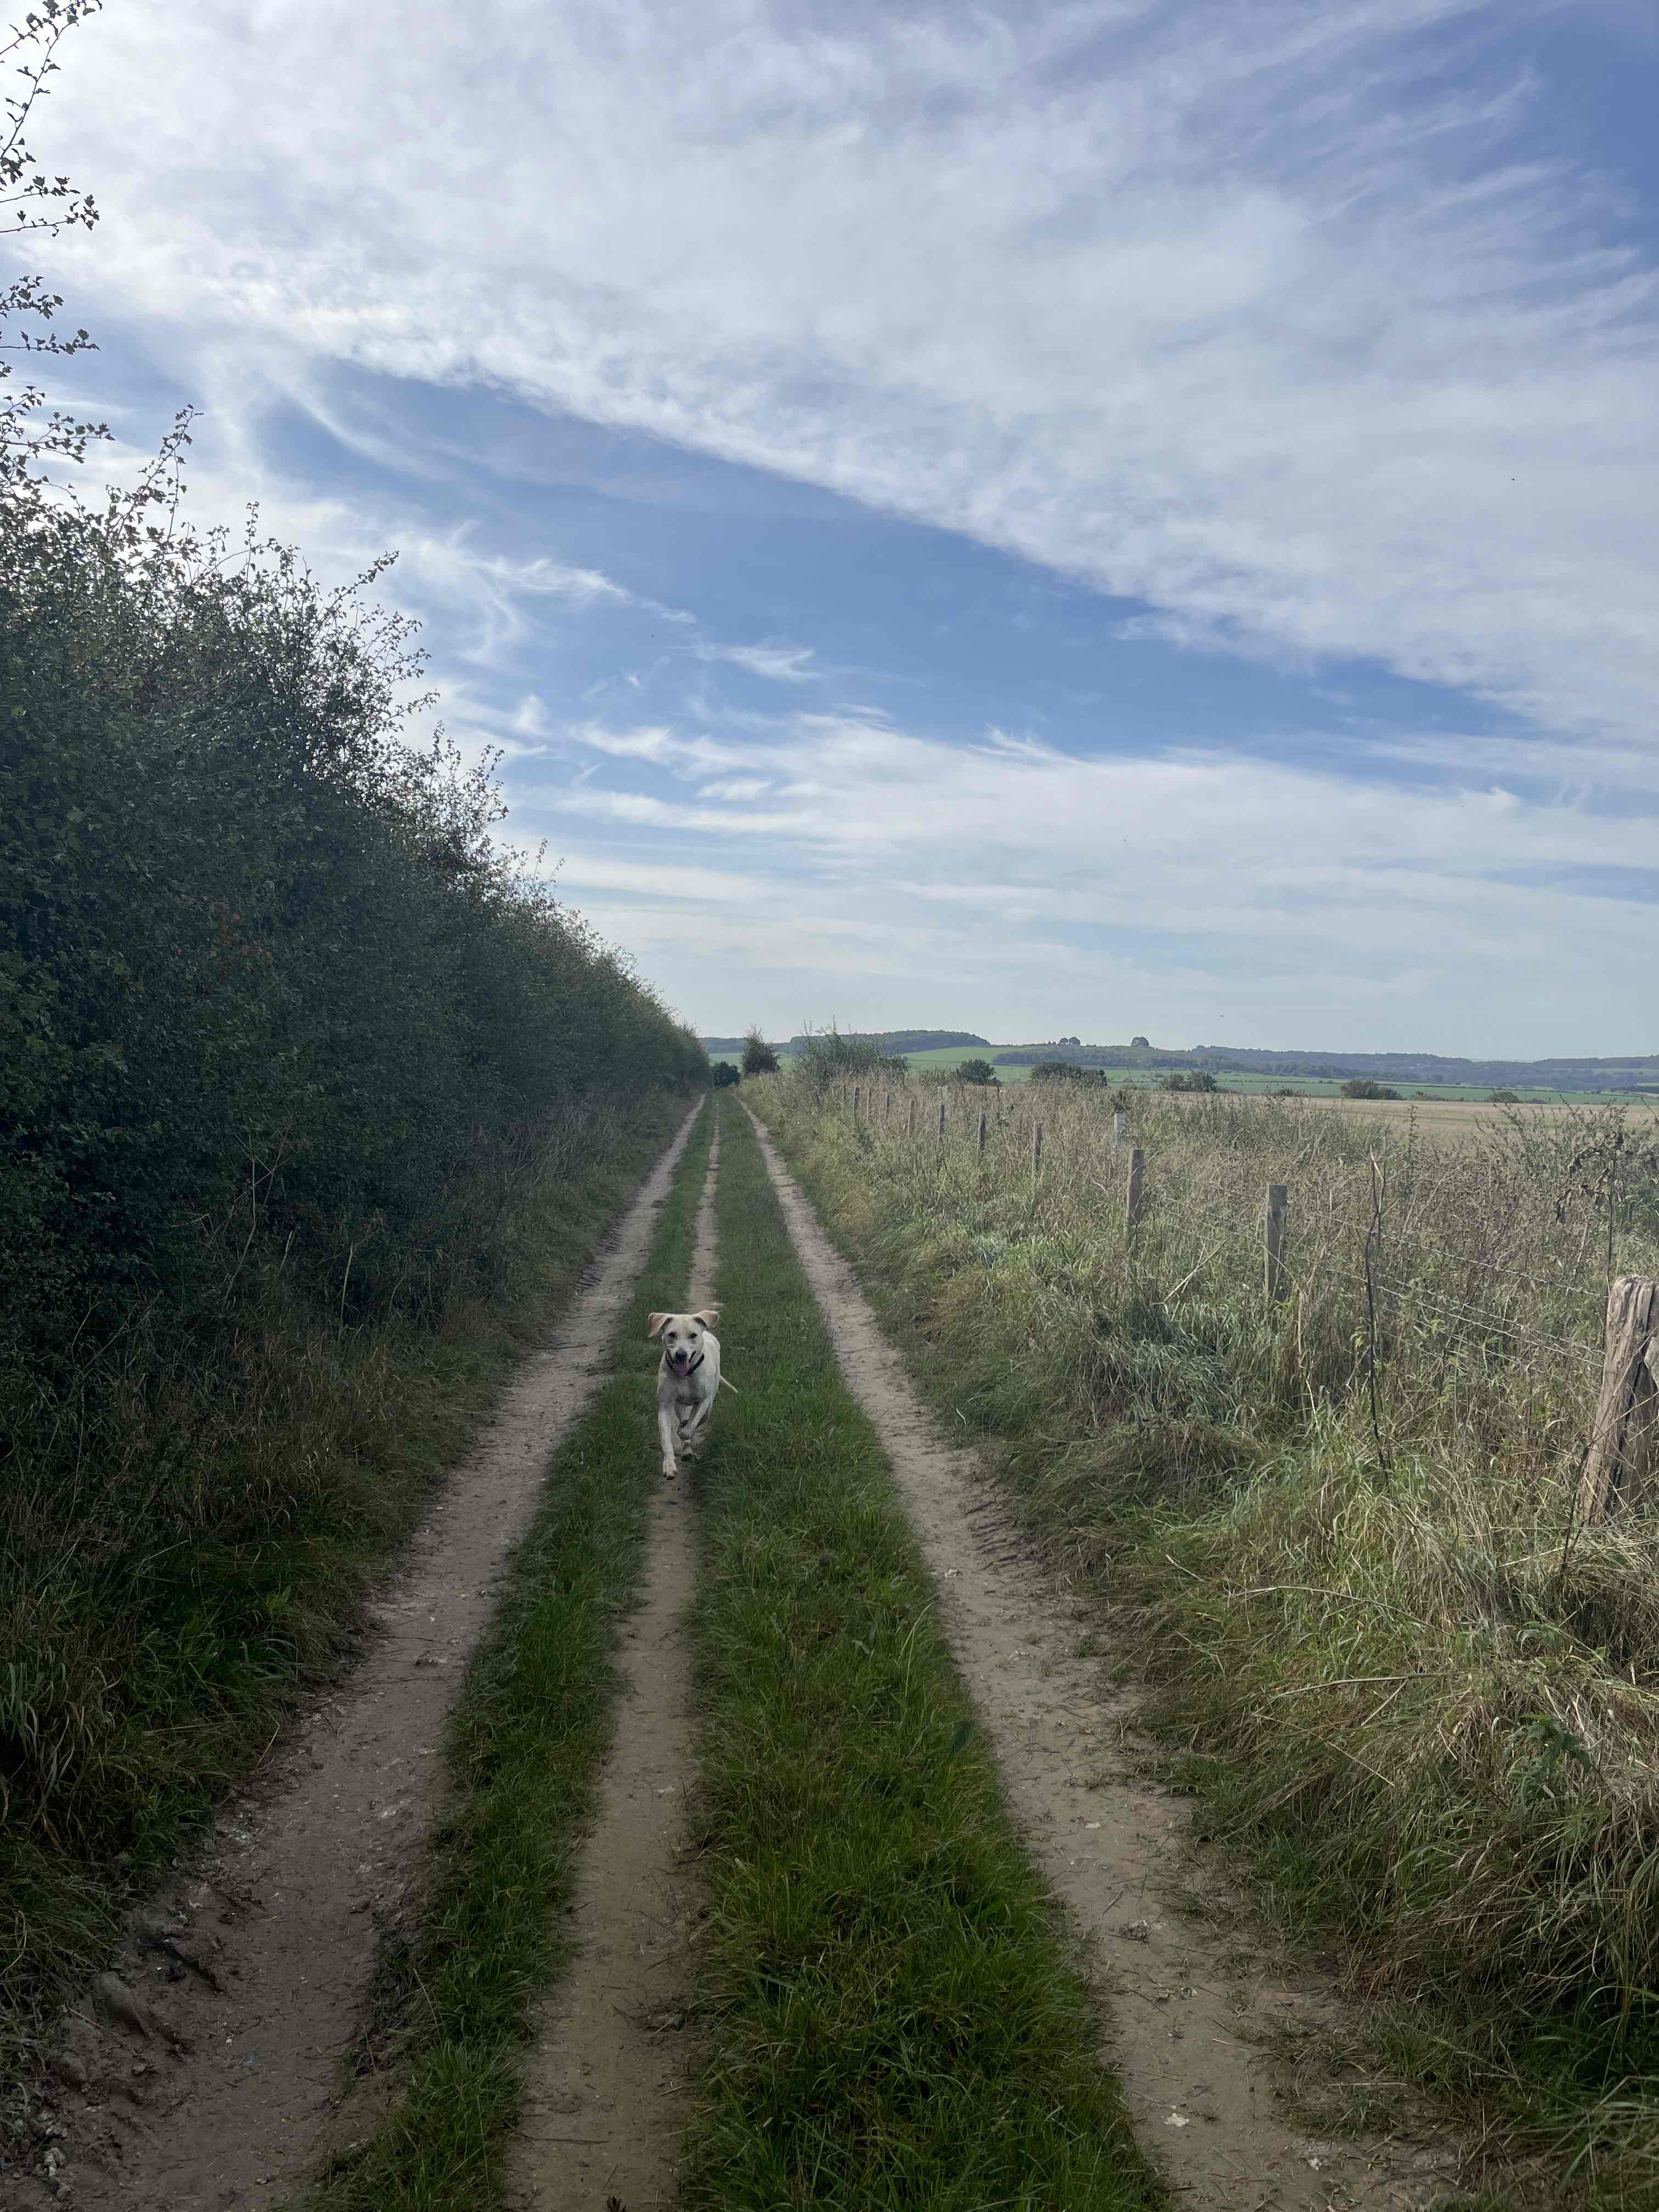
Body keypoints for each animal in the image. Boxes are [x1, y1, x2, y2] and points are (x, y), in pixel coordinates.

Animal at [646, 1300, 730, 1477]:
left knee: (698, 1420)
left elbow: (688, 1429)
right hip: (679, 1405)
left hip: (709, 1404)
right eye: (672, 1334)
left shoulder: (704, 1402)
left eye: (693, 1335)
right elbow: (666, 1439)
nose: (681, 1354)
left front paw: (684, 1429)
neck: (686, 1376)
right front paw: (669, 1465)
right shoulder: (665, 1406)